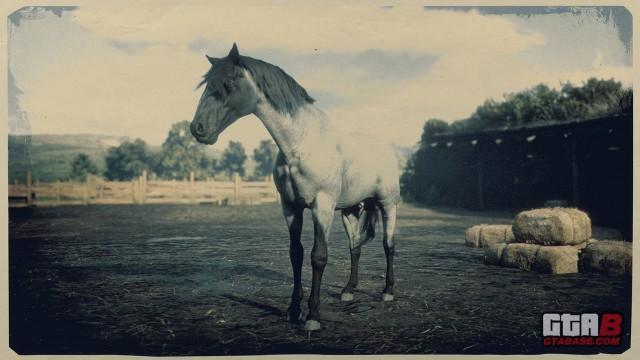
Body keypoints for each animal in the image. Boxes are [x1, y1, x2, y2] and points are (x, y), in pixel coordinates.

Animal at [190, 43, 400, 330]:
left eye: (228, 83)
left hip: (387, 205)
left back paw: (388, 291)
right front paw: (292, 310)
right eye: (206, 84)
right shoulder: (290, 207)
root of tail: (387, 150)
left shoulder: (321, 207)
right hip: (350, 210)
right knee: (355, 247)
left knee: (389, 245)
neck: (301, 144)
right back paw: (348, 291)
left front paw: (312, 317)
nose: (197, 129)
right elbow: (296, 254)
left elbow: (318, 256)